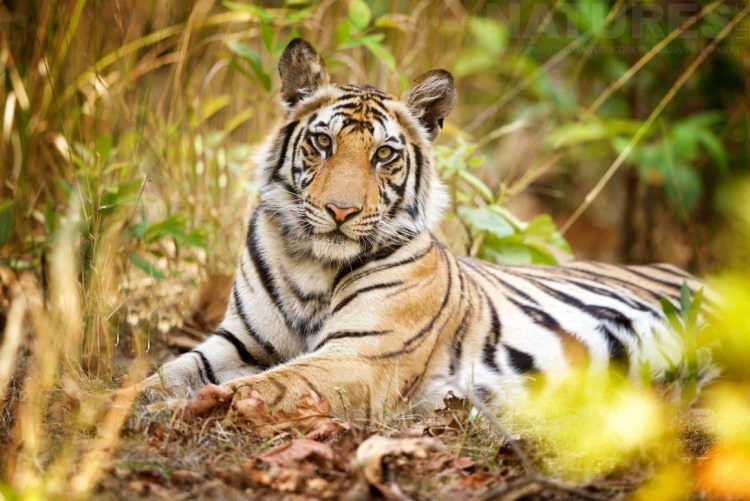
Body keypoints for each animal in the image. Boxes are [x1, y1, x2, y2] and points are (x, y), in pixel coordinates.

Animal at [144, 38, 710, 420]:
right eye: (323, 143)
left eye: (384, 155)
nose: (340, 211)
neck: (312, 265)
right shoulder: (237, 340)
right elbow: (168, 373)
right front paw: (133, 402)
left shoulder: (360, 355)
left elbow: (266, 384)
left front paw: (187, 410)